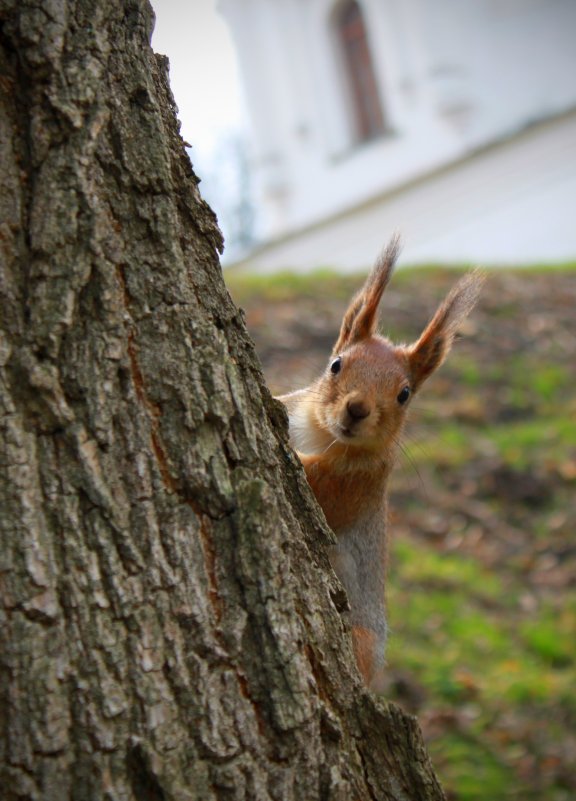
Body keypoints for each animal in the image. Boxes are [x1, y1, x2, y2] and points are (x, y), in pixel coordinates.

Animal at [276, 236, 484, 688]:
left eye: (404, 394)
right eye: (336, 365)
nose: (357, 409)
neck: (320, 433)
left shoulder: (353, 484)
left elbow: (315, 484)